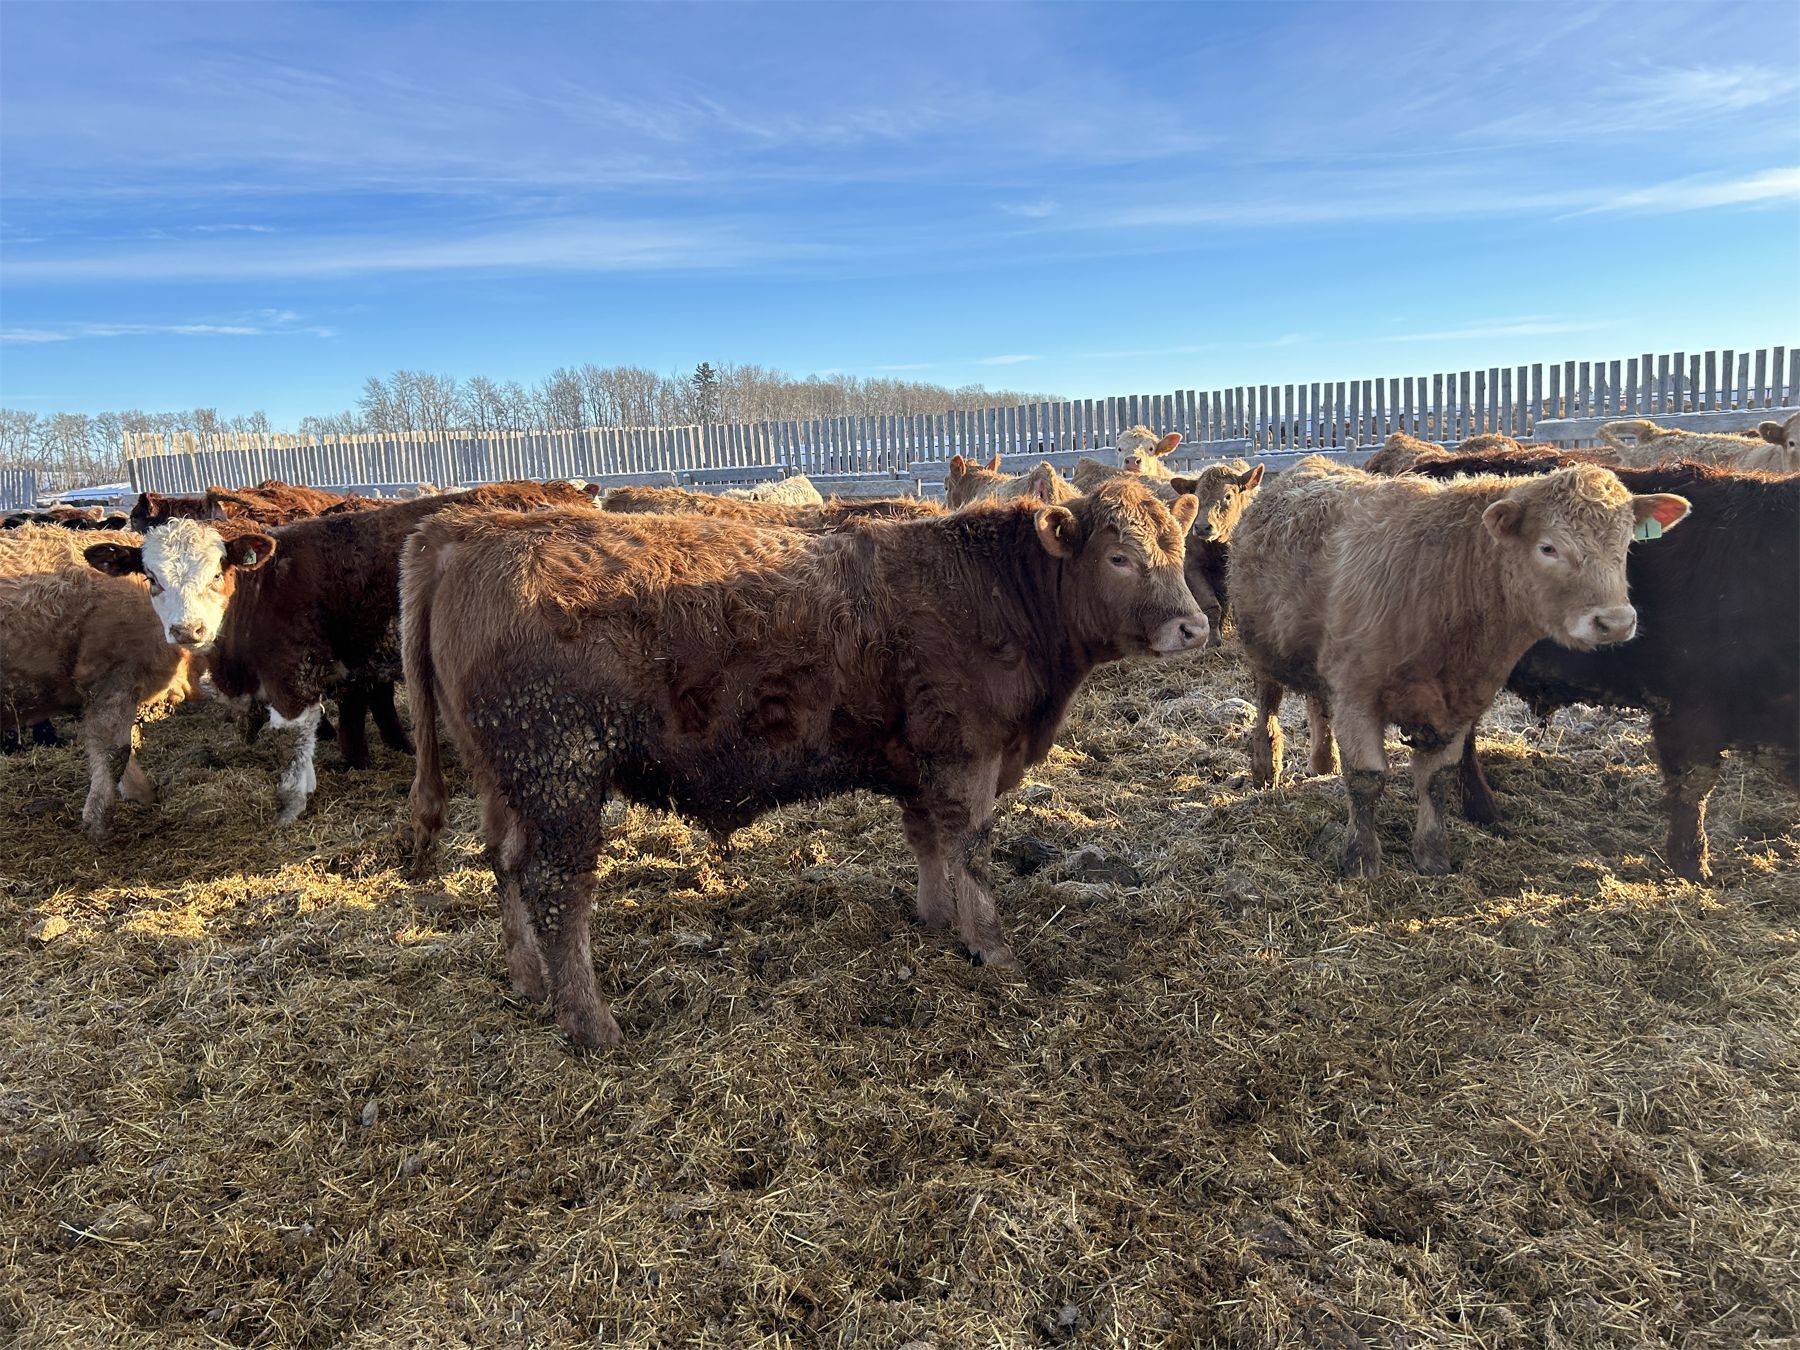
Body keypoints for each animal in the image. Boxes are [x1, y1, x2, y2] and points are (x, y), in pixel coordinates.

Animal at [0, 524, 221, 842]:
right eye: (153, 578)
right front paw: (98, 822)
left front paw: (140, 795)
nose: (188, 629)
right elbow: (115, 751)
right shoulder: (113, 680)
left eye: (217, 575)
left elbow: (128, 743)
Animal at [87, 480, 596, 822]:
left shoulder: (293, 676)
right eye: (151, 578)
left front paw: (295, 799)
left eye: (217, 572)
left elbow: (299, 738)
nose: (187, 629)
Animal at [402, 479, 1210, 1049]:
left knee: (504, 863)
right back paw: (591, 1023)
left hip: (506, 780)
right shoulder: (966, 755)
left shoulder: (918, 758)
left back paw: (527, 981)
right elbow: (971, 850)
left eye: (1178, 548)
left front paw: (935, 917)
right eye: (1119, 556)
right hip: (560, 773)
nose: (1194, 626)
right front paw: (991, 947)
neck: (992, 589)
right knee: (556, 888)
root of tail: (464, 532)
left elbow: (929, 843)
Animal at [1229, 456, 1689, 877]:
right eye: (1548, 547)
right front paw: (1360, 859)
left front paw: (1433, 856)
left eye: (1626, 544)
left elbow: (1438, 779)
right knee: (1268, 705)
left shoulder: (1460, 702)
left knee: (1317, 704)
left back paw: (1323, 762)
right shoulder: (1357, 692)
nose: (1616, 622)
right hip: (1261, 652)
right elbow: (1366, 779)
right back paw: (1266, 767)